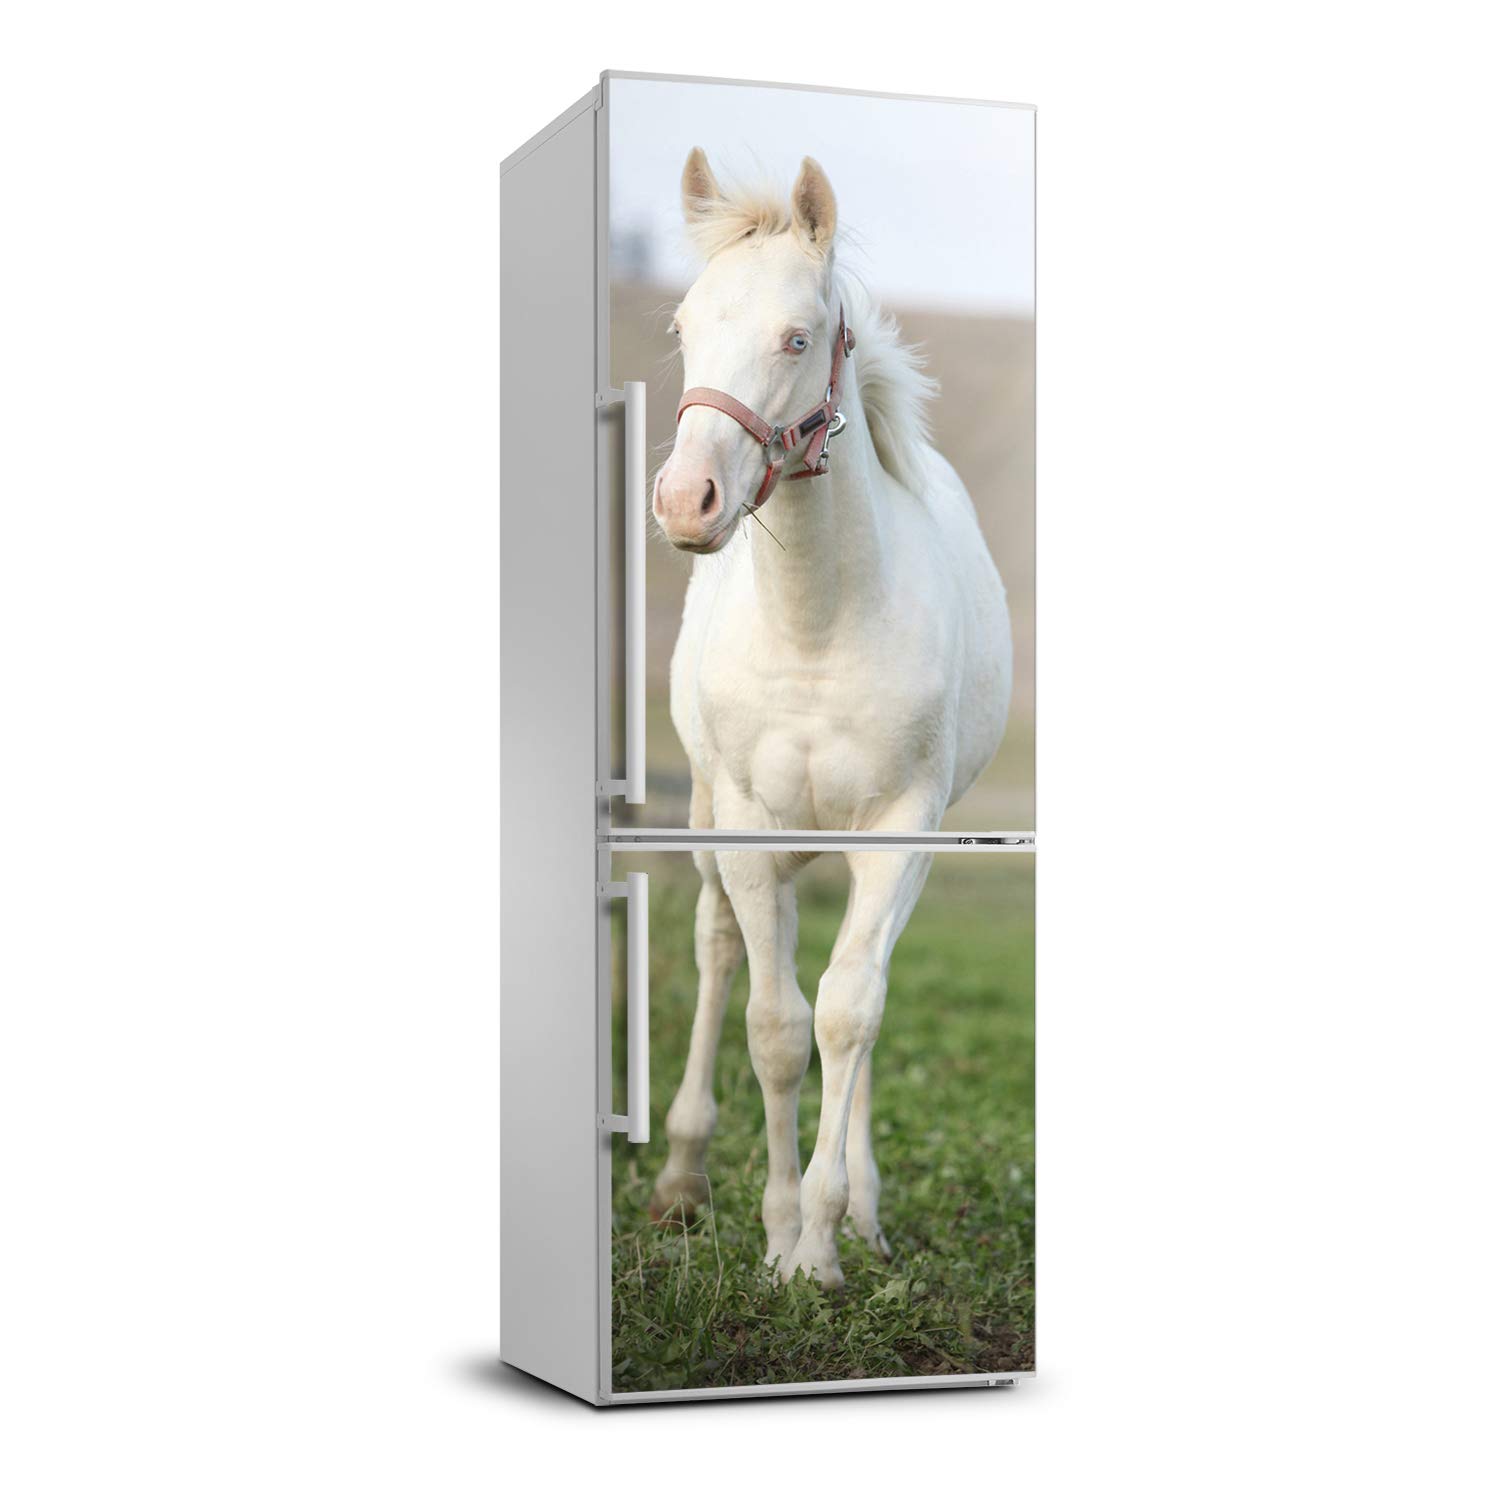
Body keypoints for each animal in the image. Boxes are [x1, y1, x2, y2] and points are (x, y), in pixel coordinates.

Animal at [645, 149, 1012, 1289]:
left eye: (796, 337)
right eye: (683, 328)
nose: (685, 501)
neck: (817, 628)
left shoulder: (901, 831)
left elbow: (850, 1014)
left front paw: (822, 1238)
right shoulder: (750, 830)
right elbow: (773, 1024)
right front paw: (775, 1236)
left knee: (859, 996)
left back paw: (864, 1209)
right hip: (710, 822)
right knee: (719, 952)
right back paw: (681, 1176)